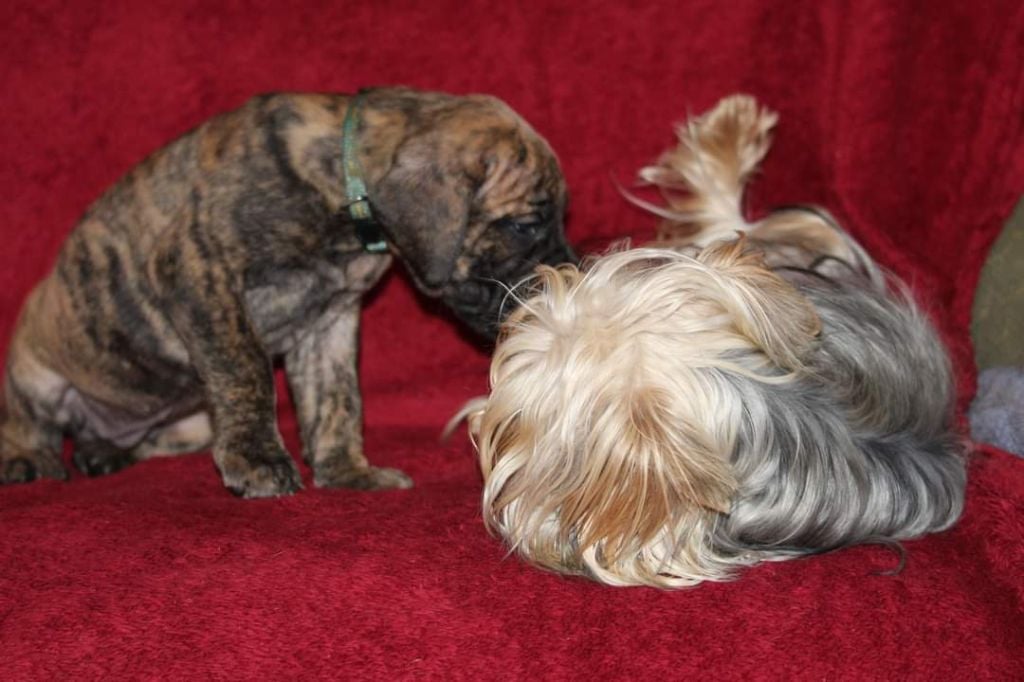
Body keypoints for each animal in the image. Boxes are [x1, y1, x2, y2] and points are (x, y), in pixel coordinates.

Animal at [0, 87, 572, 497]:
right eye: (526, 225)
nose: (566, 275)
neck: (342, 197)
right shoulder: (198, 271)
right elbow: (246, 371)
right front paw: (258, 461)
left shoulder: (331, 323)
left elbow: (337, 399)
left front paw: (346, 471)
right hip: (34, 372)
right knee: (30, 420)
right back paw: (30, 457)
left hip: (190, 423)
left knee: (143, 441)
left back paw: (104, 452)